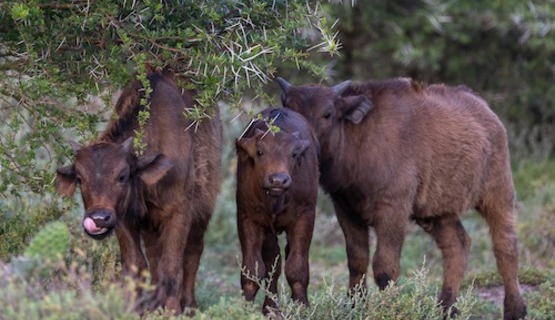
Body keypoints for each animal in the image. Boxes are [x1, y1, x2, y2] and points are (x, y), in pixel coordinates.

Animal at [55, 68, 222, 312]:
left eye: (122, 176)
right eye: (79, 178)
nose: (98, 219)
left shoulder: (180, 212)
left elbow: (172, 265)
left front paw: (172, 311)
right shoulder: (125, 220)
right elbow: (136, 265)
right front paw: (134, 308)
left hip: (203, 211)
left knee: (193, 251)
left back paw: (189, 305)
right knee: (154, 256)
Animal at [236, 107, 322, 312]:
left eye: (294, 154)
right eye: (260, 151)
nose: (278, 180)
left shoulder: (305, 217)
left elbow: (297, 268)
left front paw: (302, 307)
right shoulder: (248, 218)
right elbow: (252, 269)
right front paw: (243, 309)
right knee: (272, 263)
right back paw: (271, 309)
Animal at [278, 77, 528, 320]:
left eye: (327, 113)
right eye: (287, 110)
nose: (304, 145)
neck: (358, 139)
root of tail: (487, 113)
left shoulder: (392, 211)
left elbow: (385, 267)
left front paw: (390, 309)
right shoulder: (346, 209)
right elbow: (357, 261)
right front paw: (354, 306)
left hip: (498, 196)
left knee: (506, 248)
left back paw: (515, 309)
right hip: (438, 212)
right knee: (457, 245)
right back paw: (446, 307)